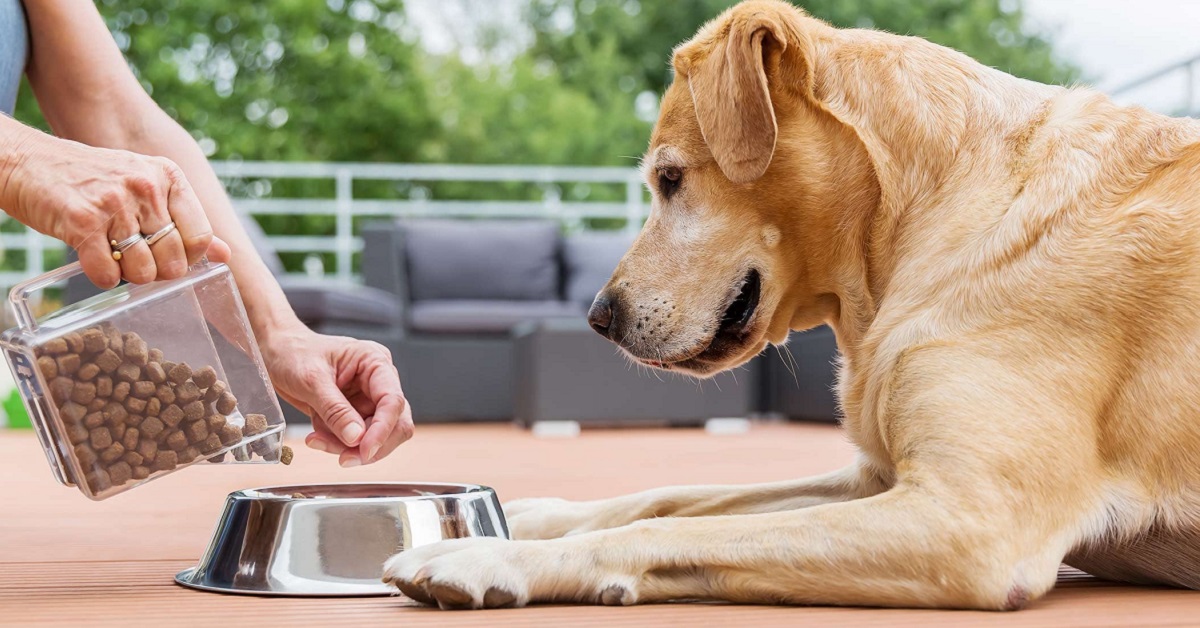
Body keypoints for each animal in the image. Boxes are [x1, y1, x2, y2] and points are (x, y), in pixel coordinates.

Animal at [381, 0, 1200, 609]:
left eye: (670, 179)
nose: (598, 318)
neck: (922, 217)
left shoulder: (972, 520)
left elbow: (674, 531)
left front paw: (489, 557)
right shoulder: (875, 480)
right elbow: (671, 496)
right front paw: (529, 519)